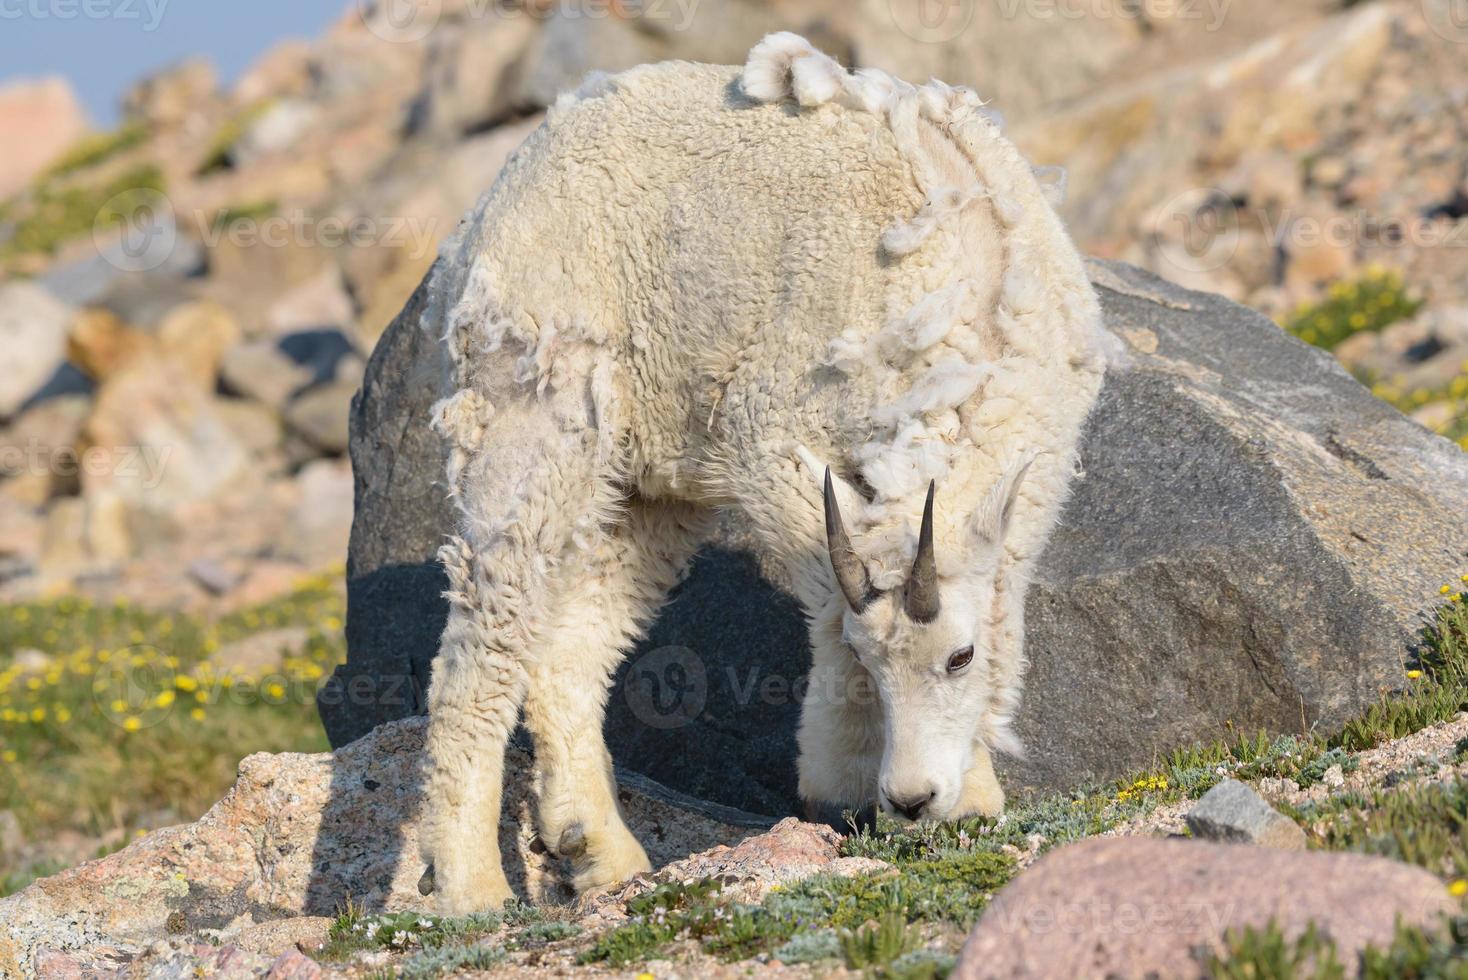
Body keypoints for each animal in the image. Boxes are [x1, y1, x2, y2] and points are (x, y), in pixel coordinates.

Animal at [413, 32, 1103, 921]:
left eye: (960, 657)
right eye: (875, 667)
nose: (913, 798)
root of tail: (493, 199)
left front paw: (963, 791)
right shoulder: (772, 437)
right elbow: (831, 602)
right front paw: (849, 780)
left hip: (646, 484)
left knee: (573, 647)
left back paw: (596, 850)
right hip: (534, 413)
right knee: (481, 636)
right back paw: (470, 886)